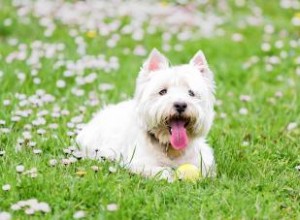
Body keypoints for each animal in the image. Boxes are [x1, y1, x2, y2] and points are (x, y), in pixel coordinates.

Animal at [75, 49, 216, 180]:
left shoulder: (203, 159)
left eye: (191, 93)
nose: (180, 105)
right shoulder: (139, 162)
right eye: (163, 92)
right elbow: (160, 171)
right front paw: (170, 176)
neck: (170, 147)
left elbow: (205, 169)